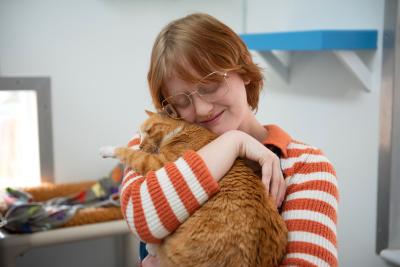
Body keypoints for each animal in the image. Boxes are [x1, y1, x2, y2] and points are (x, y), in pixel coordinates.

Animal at [109, 112, 286, 266]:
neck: (181, 129)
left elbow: (130, 154)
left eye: (149, 131)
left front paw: (108, 149)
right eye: (139, 135)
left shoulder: (159, 163)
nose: (139, 145)